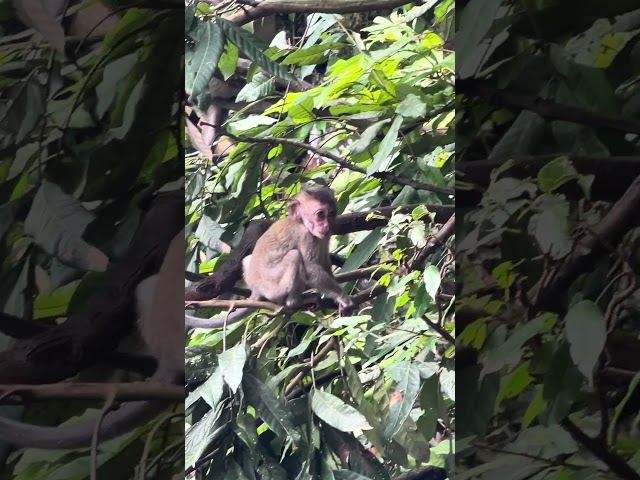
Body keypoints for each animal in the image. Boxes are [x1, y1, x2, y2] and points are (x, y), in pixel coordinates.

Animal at [185, 186, 354, 329]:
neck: (300, 221)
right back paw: (295, 302)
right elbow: (311, 268)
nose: (325, 225)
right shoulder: (304, 235)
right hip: (274, 287)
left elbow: (324, 262)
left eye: (331, 214)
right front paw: (342, 297)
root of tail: (257, 290)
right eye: (320, 214)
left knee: (247, 260)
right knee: (294, 256)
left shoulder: (323, 236)